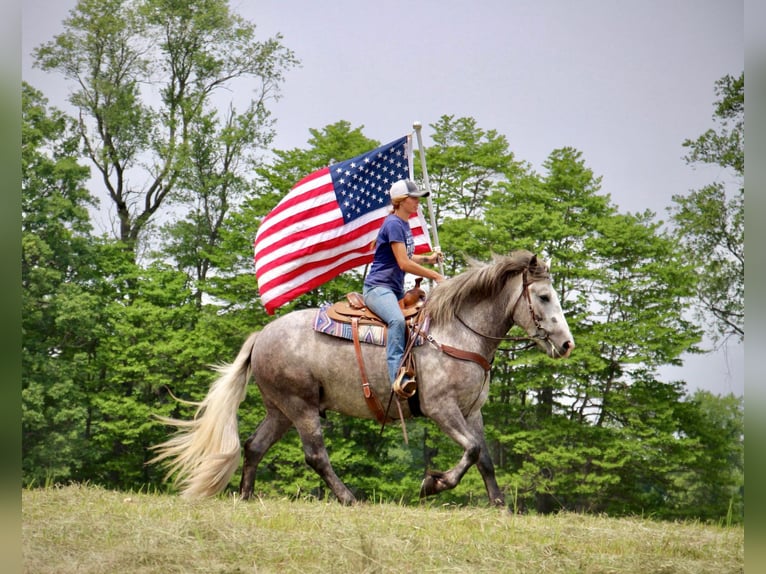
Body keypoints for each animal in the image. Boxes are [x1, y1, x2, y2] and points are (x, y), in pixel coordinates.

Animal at [153, 252, 576, 508]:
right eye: (543, 297)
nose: (566, 343)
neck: (456, 332)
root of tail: (262, 335)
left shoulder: (473, 411)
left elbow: (484, 456)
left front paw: (499, 504)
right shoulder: (441, 407)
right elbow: (471, 450)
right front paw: (433, 484)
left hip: (280, 409)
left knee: (254, 446)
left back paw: (245, 496)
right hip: (301, 407)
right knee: (315, 455)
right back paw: (348, 497)